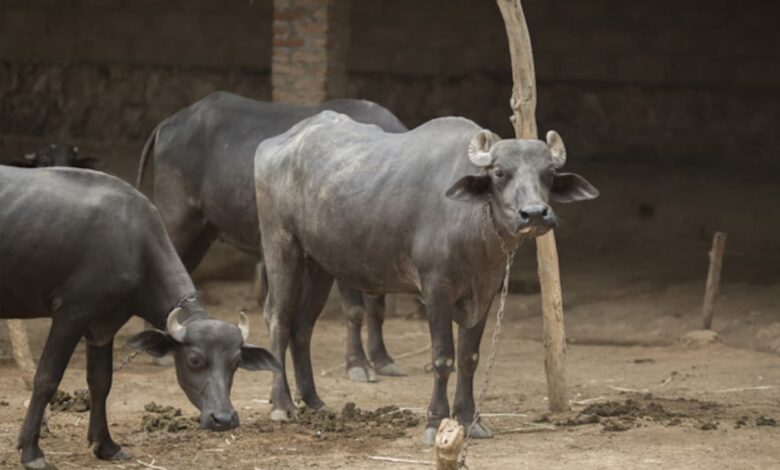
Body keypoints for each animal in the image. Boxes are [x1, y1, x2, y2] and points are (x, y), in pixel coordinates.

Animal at [0, 167, 280, 468]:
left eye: (236, 362)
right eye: (194, 360)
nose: (224, 418)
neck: (132, 243)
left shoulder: (102, 326)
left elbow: (101, 382)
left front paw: (106, 445)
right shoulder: (71, 313)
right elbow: (46, 379)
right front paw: (31, 451)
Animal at [137, 92, 408, 382]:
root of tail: (169, 123)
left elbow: (377, 307)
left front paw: (383, 360)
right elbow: (356, 310)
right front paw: (358, 364)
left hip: (203, 232)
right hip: (177, 220)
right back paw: (159, 351)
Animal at [253, 112, 600, 442]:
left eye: (549, 174)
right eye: (500, 173)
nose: (535, 213)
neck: (473, 229)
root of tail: (274, 145)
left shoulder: (485, 293)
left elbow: (469, 357)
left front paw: (469, 420)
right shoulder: (435, 290)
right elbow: (443, 357)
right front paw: (435, 421)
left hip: (318, 264)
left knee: (302, 327)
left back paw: (313, 401)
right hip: (281, 245)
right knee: (278, 319)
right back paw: (282, 404)